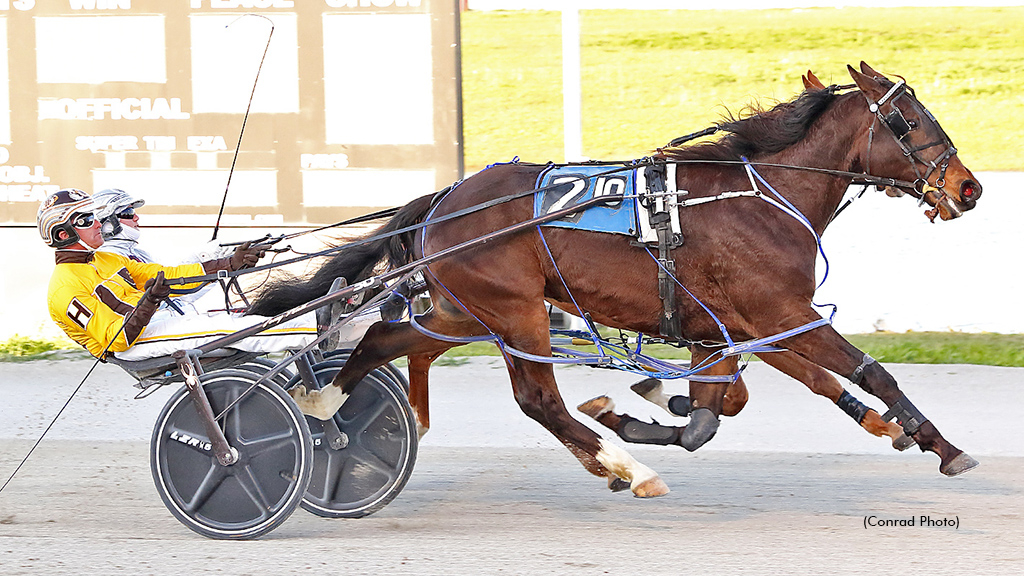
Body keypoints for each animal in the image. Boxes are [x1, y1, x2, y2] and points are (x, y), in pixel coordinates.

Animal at [249, 61, 983, 494]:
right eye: (908, 120)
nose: (968, 187)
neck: (761, 198)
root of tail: (446, 196)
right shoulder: (781, 314)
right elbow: (870, 373)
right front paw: (942, 445)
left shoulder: (724, 332)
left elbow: (713, 416)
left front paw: (643, 408)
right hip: (518, 312)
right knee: (537, 401)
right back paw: (629, 468)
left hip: (465, 310)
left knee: (386, 340)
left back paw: (323, 403)